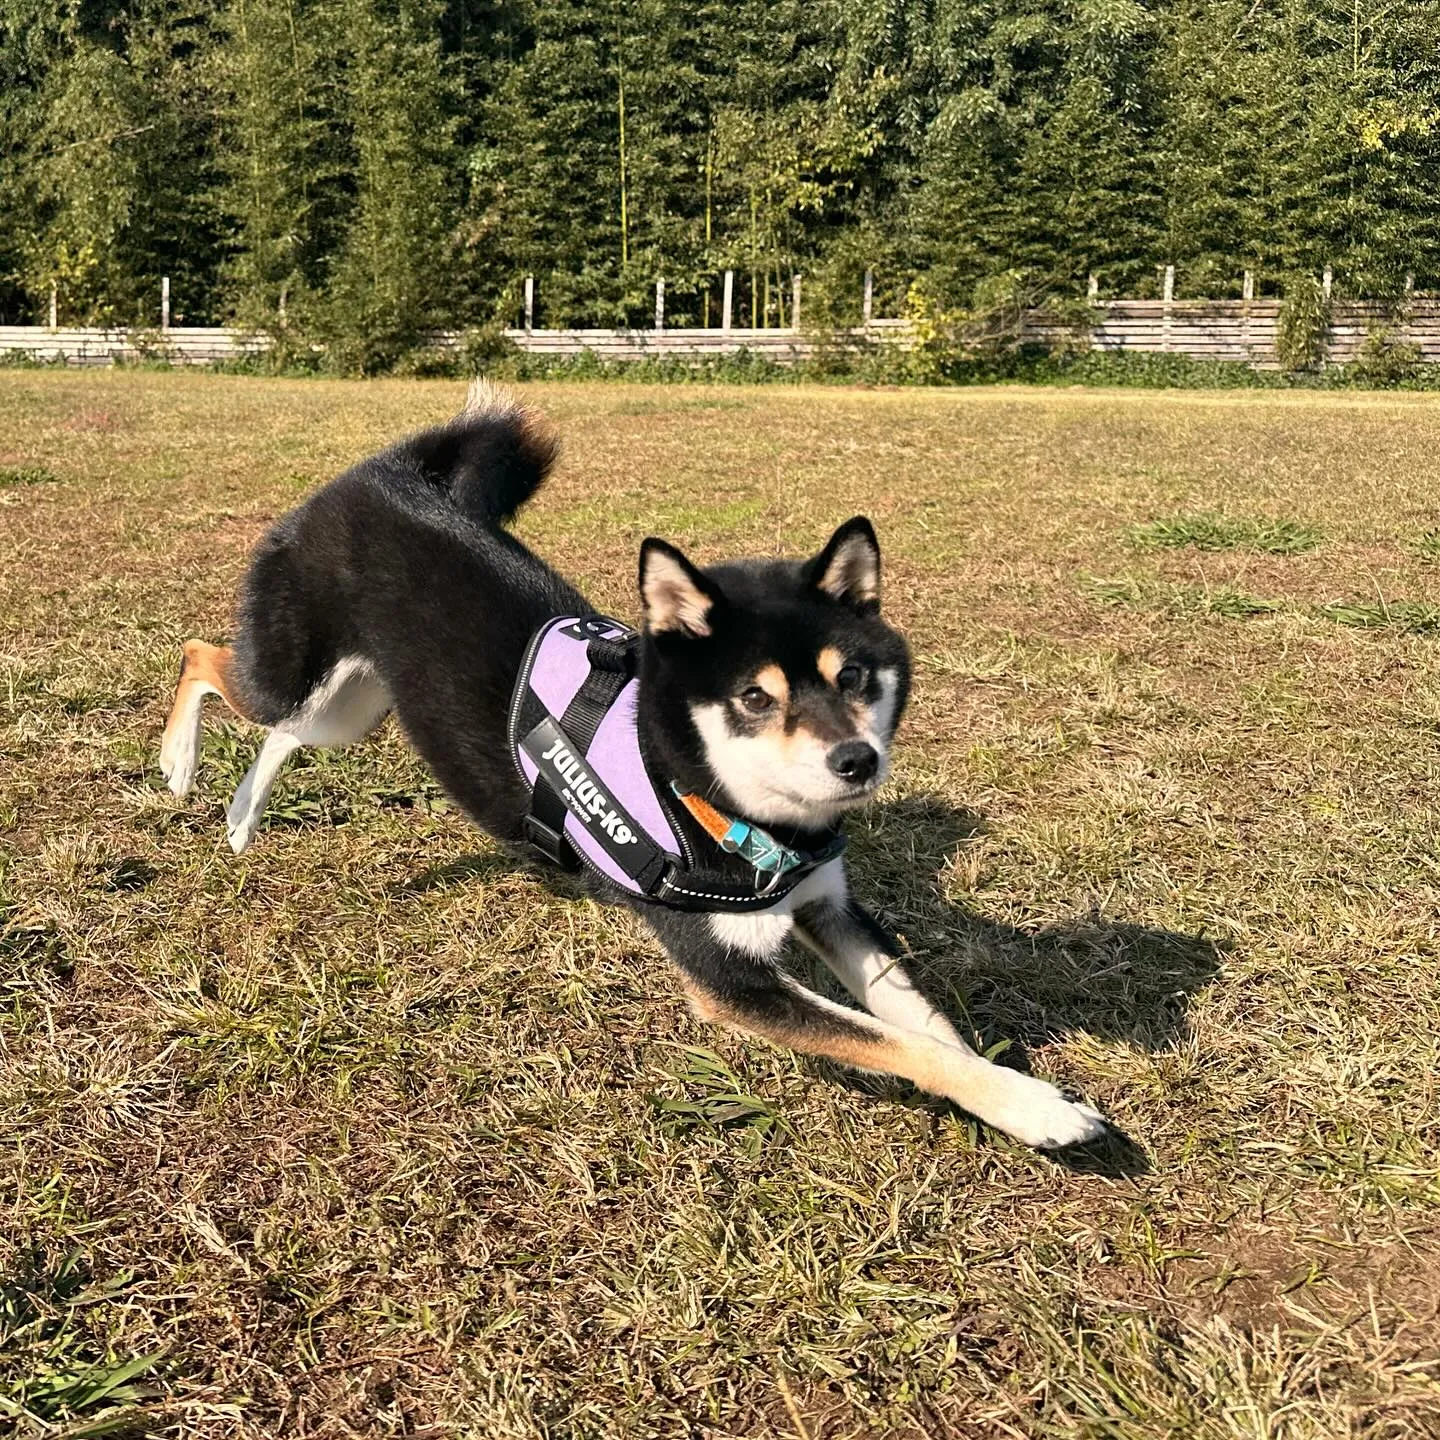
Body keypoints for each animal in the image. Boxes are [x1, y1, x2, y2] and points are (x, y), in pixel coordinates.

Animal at [160, 385, 1100, 1146]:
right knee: (203, 658)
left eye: (854, 678)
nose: (856, 760)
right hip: (299, 675)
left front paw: (1014, 1089)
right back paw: (182, 767)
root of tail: (385, 473)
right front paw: (1039, 1113)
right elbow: (898, 1043)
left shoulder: (830, 908)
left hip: (350, 708)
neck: (721, 803)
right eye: (753, 698)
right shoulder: (729, 979)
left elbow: (924, 1021)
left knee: (282, 733)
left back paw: (242, 817)